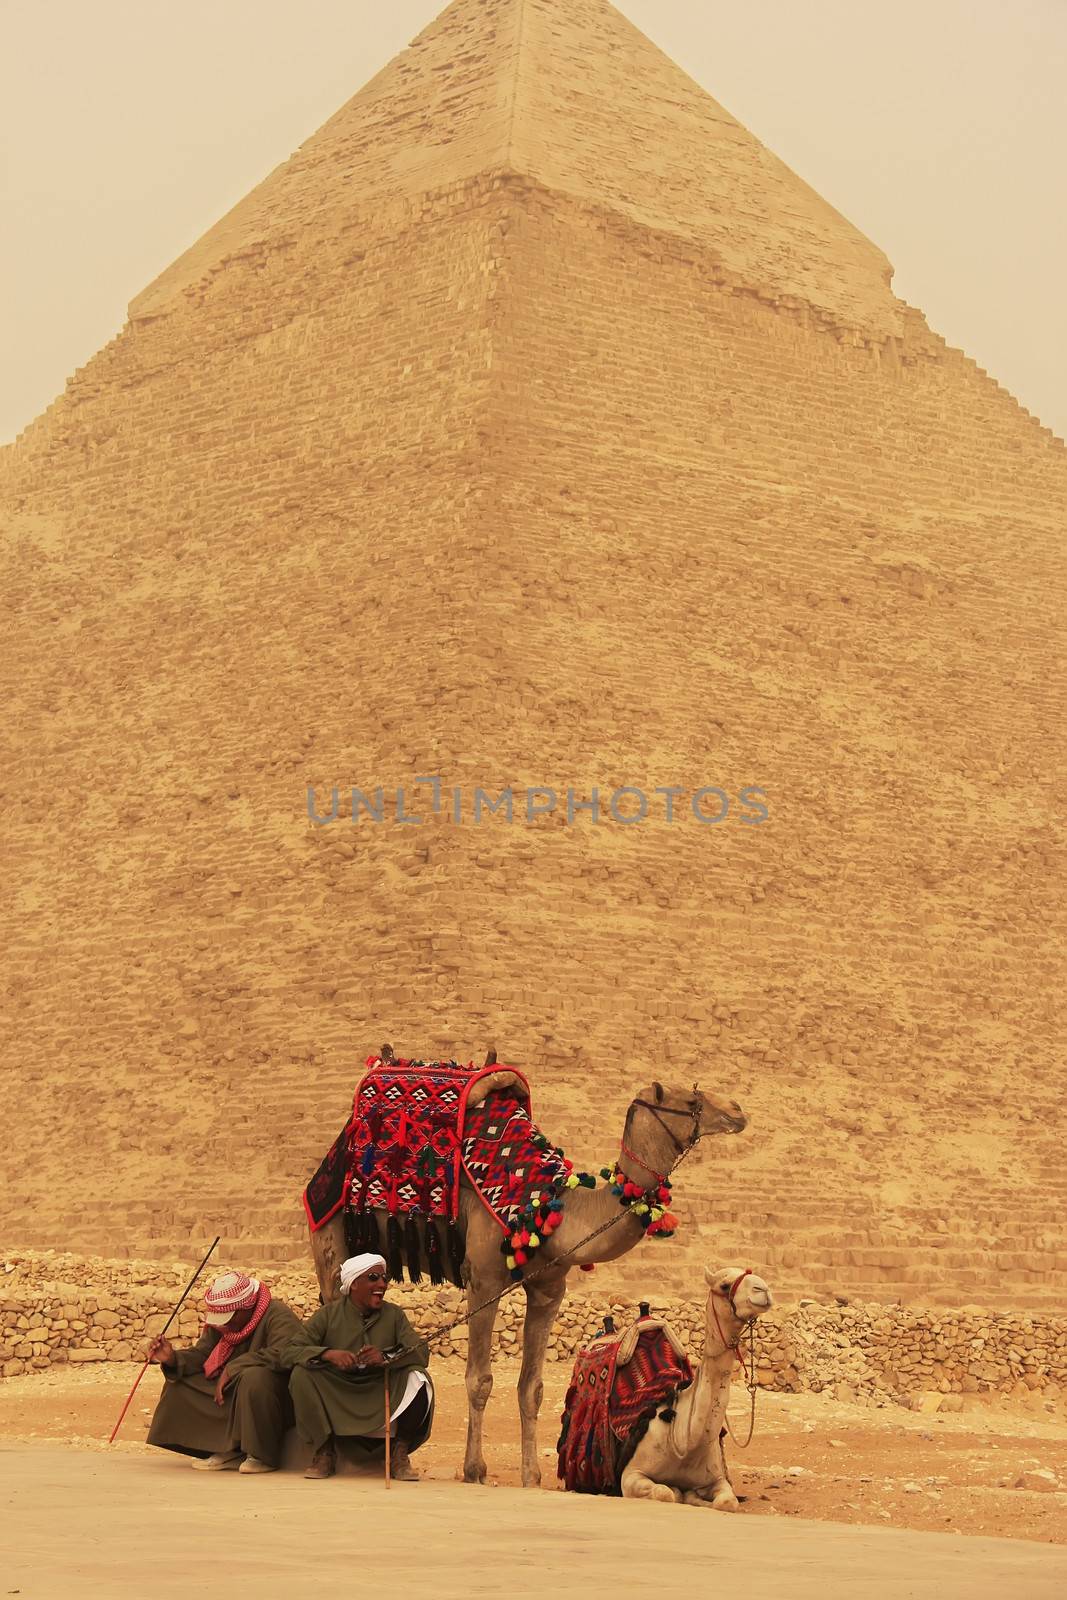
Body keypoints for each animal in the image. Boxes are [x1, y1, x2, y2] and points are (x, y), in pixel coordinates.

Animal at [308, 1049, 748, 1484]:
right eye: (691, 1100)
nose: (738, 1111)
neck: (546, 1206)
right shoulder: (483, 1280)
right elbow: (480, 1379)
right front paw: (475, 1470)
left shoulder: (549, 1288)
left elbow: (531, 1387)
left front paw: (531, 1476)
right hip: (329, 1231)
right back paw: (330, 1457)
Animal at [617, 1267, 777, 1504]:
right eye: (724, 1285)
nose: (762, 1289)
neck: (689, 1441)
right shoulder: (630, 1475)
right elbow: (667, 1493)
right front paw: (679, 1492)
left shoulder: (717, 1479)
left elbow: (727, 1502)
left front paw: (695, 1496)